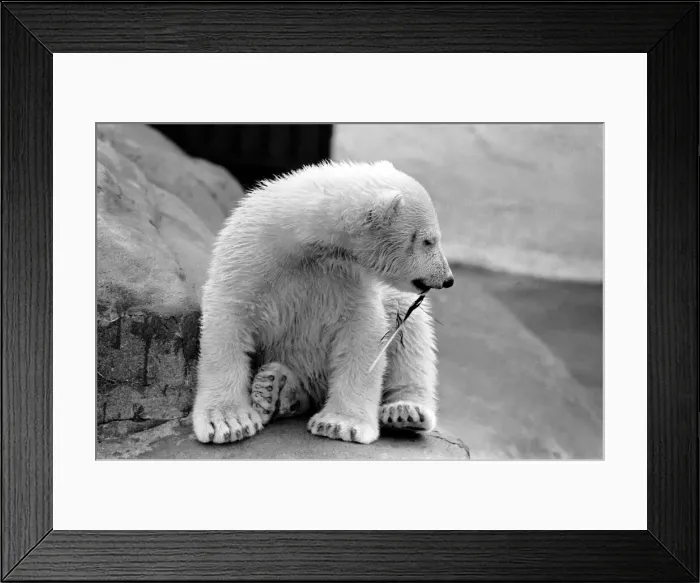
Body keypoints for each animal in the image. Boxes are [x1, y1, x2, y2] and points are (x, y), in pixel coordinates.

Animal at [192, 160, 454, 445]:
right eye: (428, 240)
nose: (447, 278)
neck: (301, 243)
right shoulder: (249, 256)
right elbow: (229, 320)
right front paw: (228, 422)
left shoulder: (347, 280)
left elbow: (363, 333)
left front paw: (339, 424)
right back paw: (275, 388)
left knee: (411, 334)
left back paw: (405, 412)